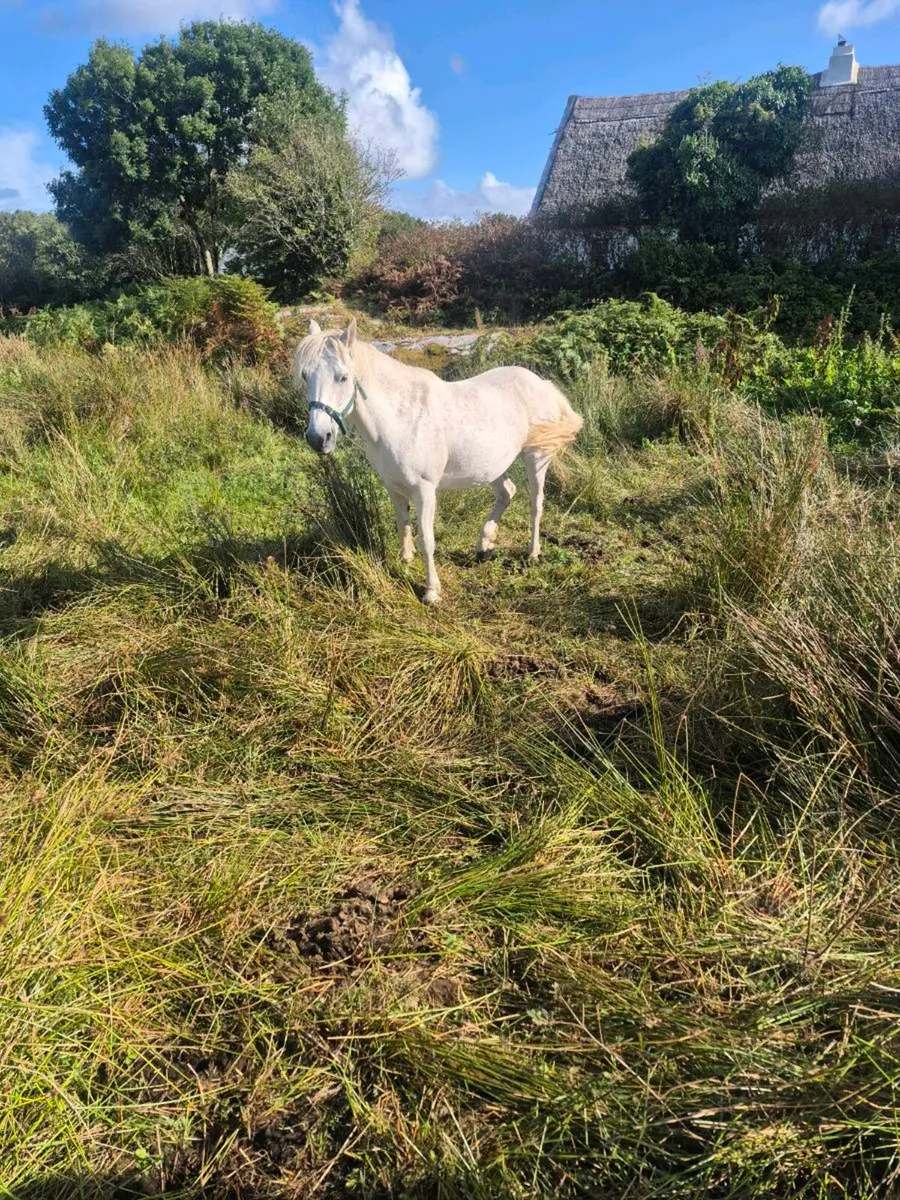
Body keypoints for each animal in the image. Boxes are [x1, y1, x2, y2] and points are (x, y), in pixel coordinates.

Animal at [294, 319, 583, 604]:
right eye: (305, 376)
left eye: (342, 377)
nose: (318, 438)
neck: (399, 418)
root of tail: (540, 382)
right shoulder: (394, 487)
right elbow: (403, 527)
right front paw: (405, 563)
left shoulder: (425, 491)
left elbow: (427, 539)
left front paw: (431, 591)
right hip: (492, 466)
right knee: (507, 493)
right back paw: (485, 545)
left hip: (536, 457)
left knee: (536, 503)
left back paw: (533, 552)